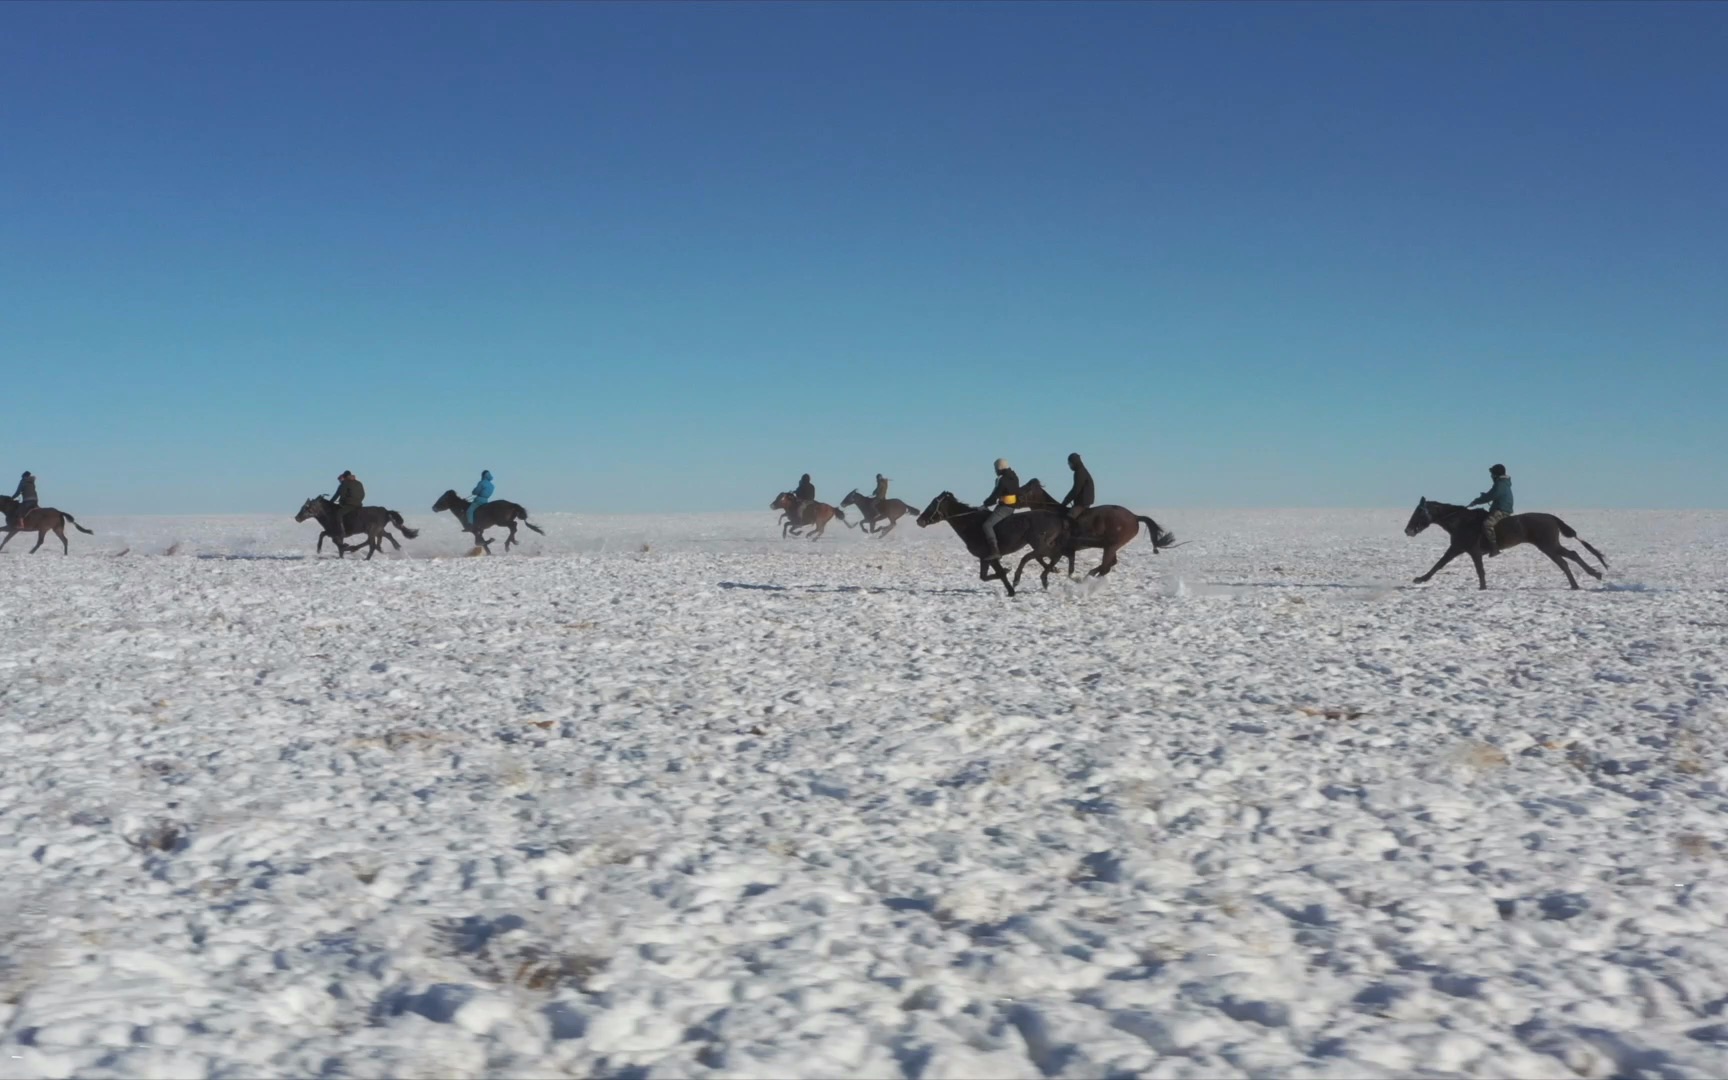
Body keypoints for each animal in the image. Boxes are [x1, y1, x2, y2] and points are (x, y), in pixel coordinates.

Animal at [1403, 497, 1603, 590]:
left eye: (1419, 511)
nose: (1408, 530)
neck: (1460, 521)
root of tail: (1552, 518)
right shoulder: (1458, 549)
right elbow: (1440, 564)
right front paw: (1420, 579)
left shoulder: (1468, 550)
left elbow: (1475, 569)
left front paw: (1483, 588)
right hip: (1551, 546)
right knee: (1571, 556)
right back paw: (1590, 577)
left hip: (1548, 546)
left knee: (1565, 561)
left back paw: (1583, 581)